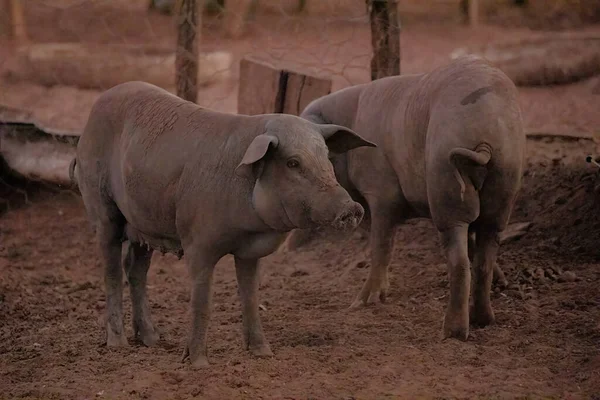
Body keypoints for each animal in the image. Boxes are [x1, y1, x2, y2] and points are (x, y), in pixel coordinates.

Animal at [70, 82, 376, 368]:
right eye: (293, 163)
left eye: (326, 158)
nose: (352, 208)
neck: (251, 226)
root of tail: (88, 122)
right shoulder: (198, 242)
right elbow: (202, 300)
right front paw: (198, 363)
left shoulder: (249, 251)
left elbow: (250, 296)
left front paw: (263, 353)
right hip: (102, 208)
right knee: (111, 271)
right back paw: (118, 343)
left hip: (144, 223)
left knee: (135, 270)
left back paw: (153, 339)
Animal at [286, 54, 524, 340]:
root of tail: (485, 134)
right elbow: (472, 244)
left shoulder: (381, 192)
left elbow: (382, 245)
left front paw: (362, 304)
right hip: (505, 180)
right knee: (484, 253)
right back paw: (484, 320)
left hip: (444, 180)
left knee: (459, 261)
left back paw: (451, 333)